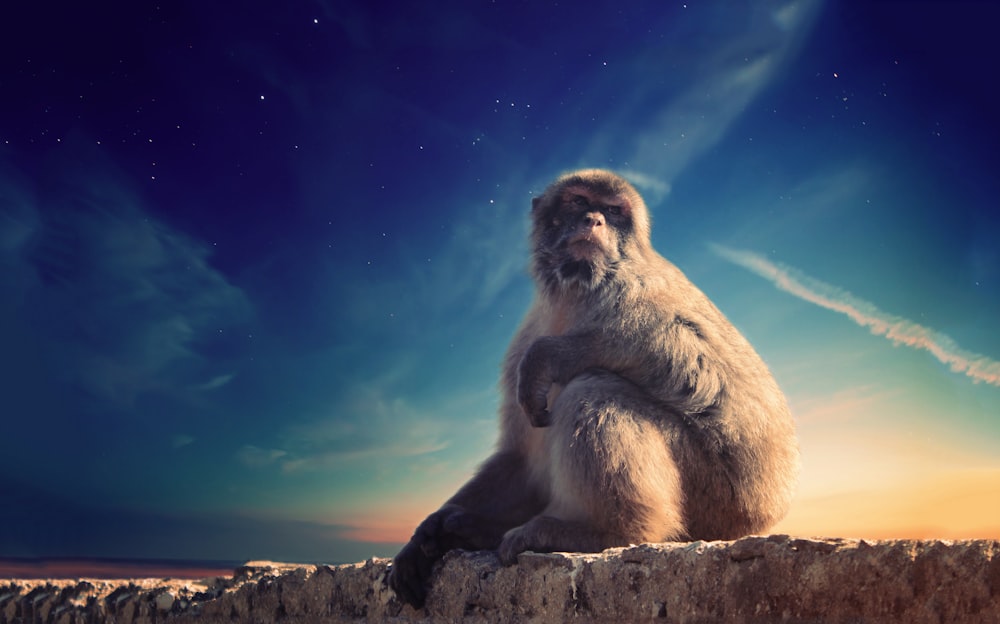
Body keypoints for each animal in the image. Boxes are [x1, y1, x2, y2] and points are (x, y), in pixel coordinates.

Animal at [386, 168, 800, 608]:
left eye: (614, 211)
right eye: (579, 201)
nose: (594, 221)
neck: (573, 291)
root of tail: (763, 514)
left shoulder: (637, 287)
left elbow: (694, 358)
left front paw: (551, 355)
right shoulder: (524, 337)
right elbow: (519, 457)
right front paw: (426, 533)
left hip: (716, 497)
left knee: (592, 388)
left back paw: (605, 532)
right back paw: (477, 529)